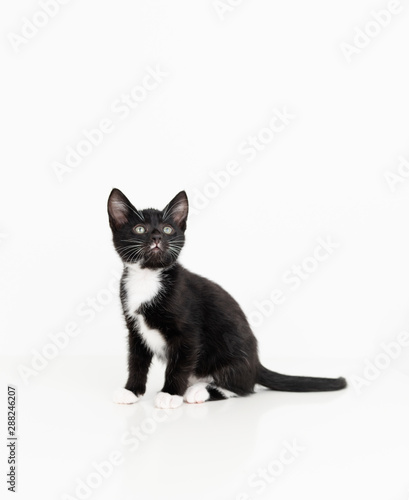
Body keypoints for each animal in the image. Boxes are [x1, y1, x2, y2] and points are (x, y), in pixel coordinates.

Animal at [107, 189, 346, 408]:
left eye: (168, 229)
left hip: (233, 352)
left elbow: (179, 365)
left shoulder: (188, 332)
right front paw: (132, 391)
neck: (147, 277)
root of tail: (256, 363)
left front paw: (170, 394)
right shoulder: (135, 329)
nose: (157, 237)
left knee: (242, 386)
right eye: (140, 229)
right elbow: (136, 361)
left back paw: (199, 390)